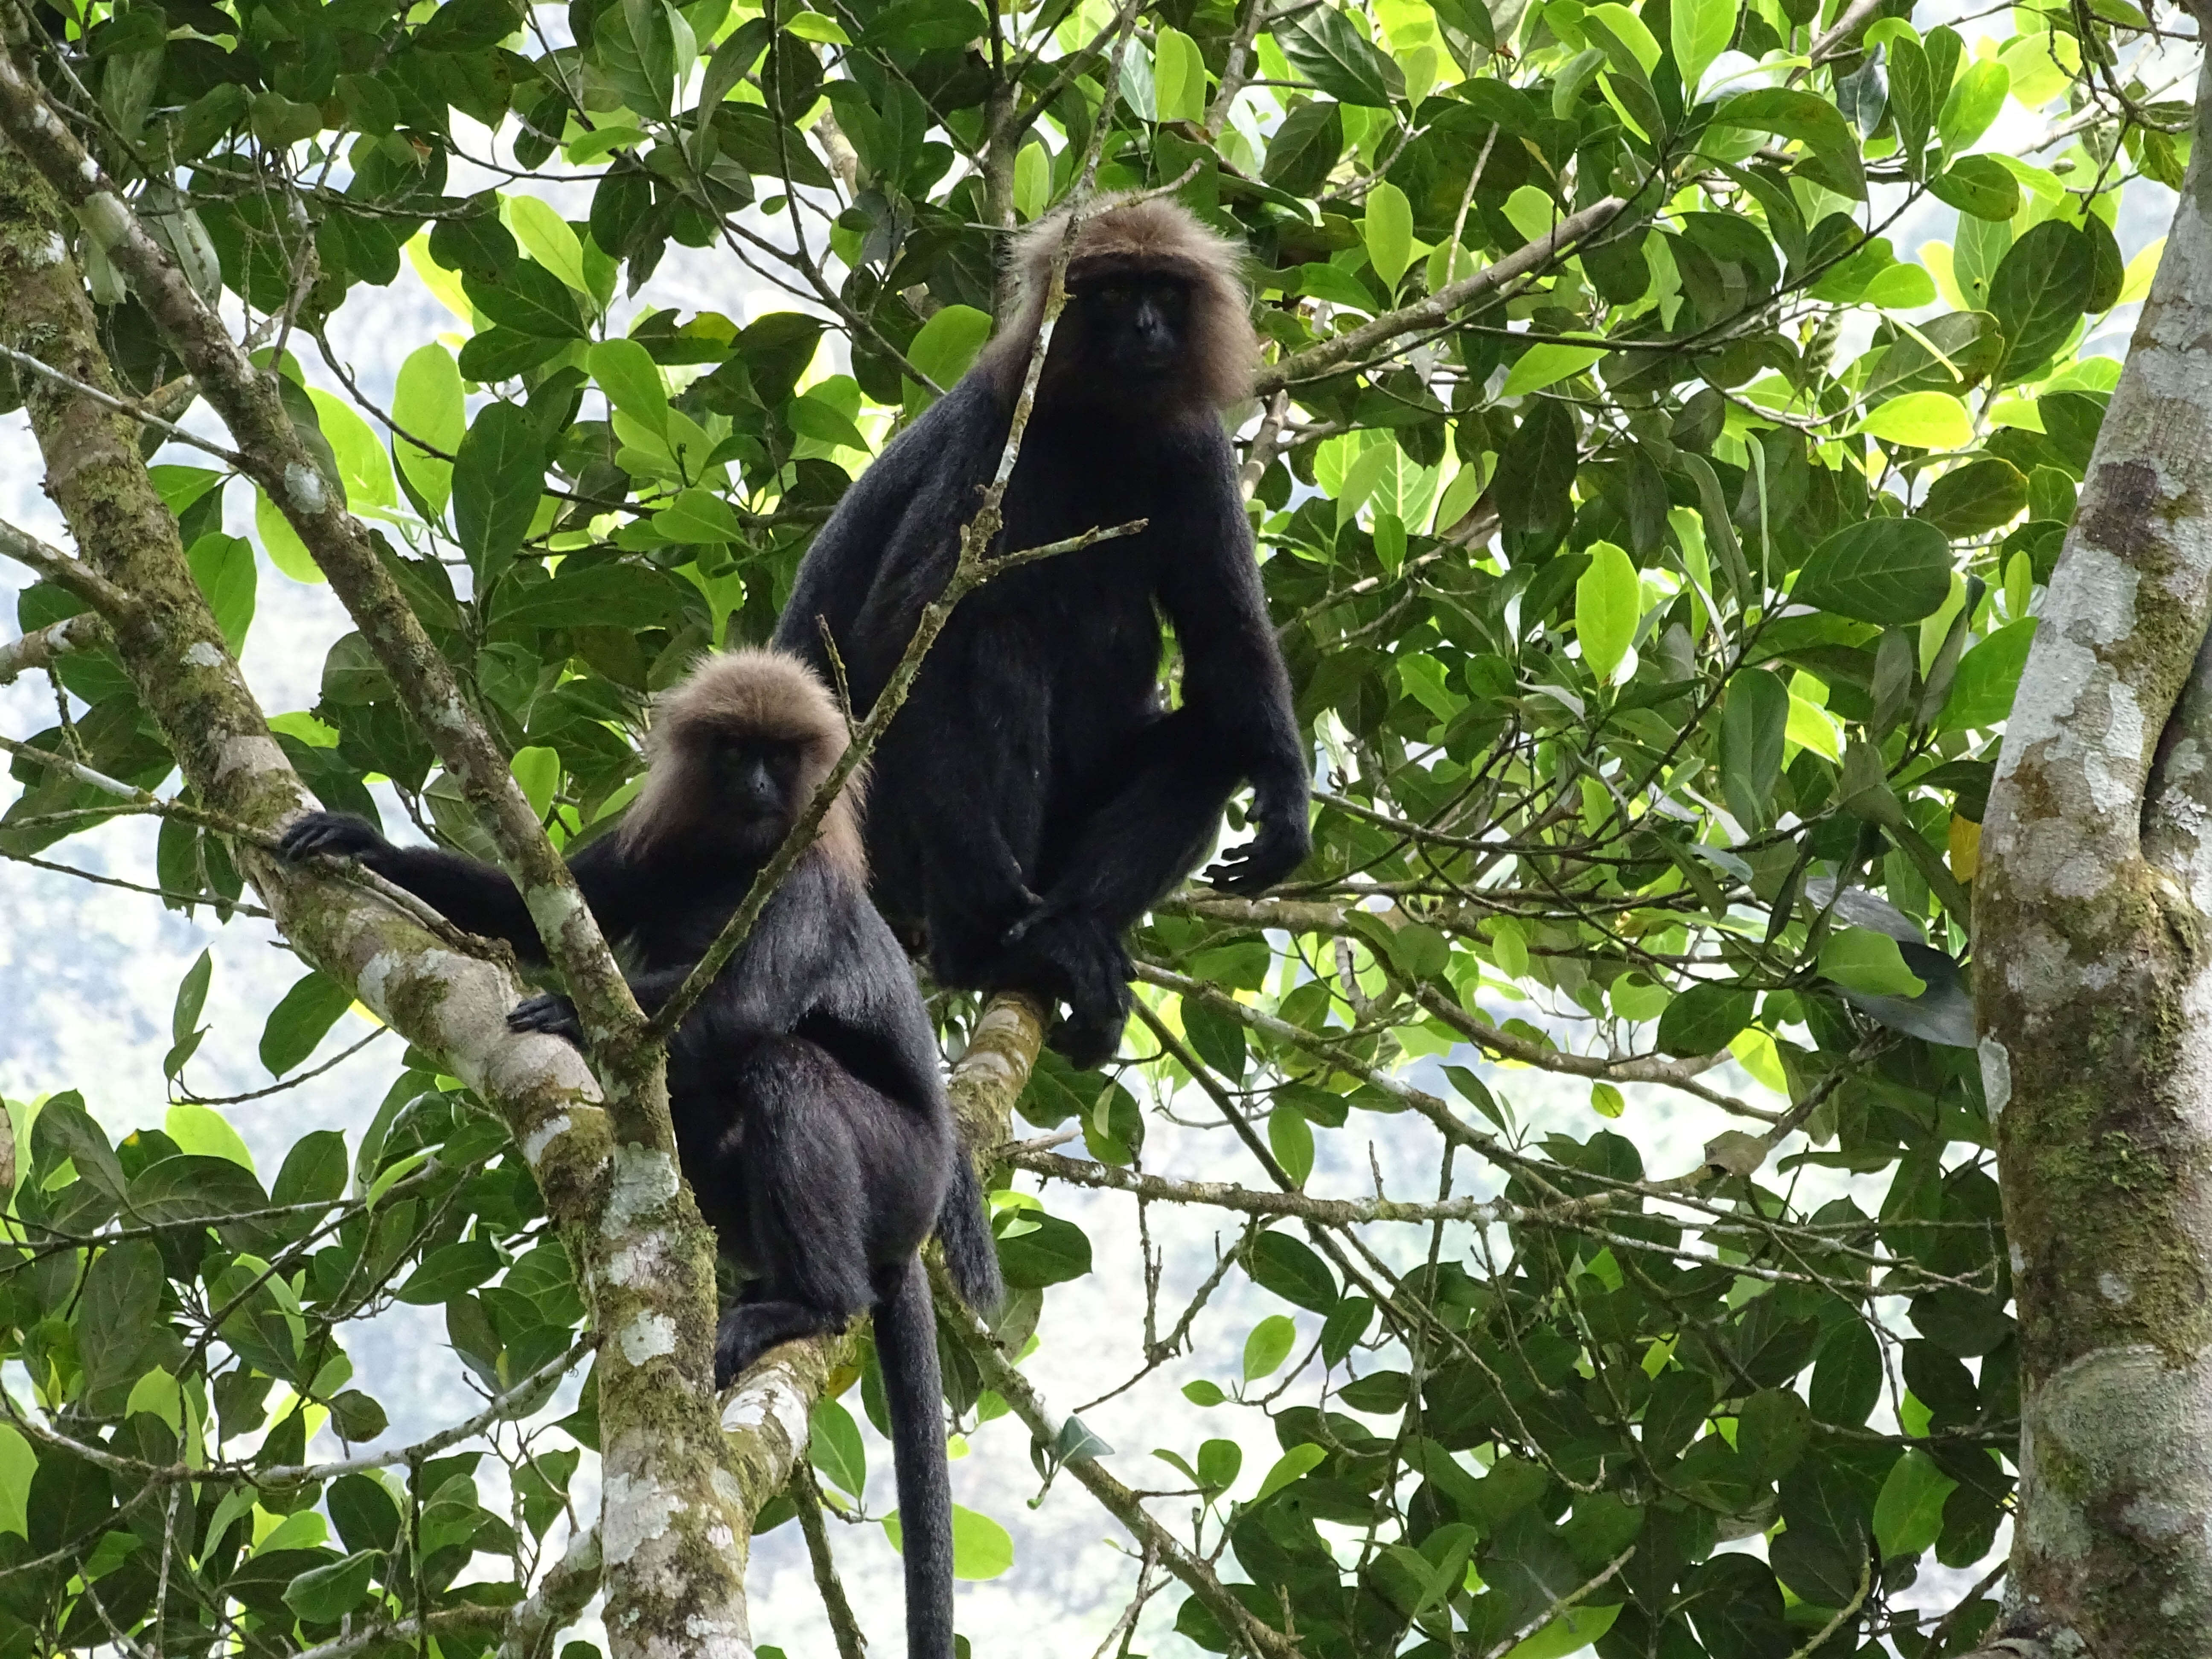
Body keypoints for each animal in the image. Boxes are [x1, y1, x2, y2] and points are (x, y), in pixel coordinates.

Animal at [279, 646, 1004, 1659]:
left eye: (780, 758)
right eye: (735, 752)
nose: (756, 787)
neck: (733, 861)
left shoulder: (802, 885)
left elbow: (739, 1011)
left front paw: (573, 1016)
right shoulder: (655, 850)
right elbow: (530, 911)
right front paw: (364, 845)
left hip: (899, 1167)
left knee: (779, 1068)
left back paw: (811, 1301)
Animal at [774, 195, 1301, 1071]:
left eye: (1164, 290)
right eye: (1116, 293)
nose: (1149, 328)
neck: (1098, 426)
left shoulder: (1194, 447)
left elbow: (1225, 629)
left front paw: (1288, 800)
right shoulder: (994, 437)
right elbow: (902, 646)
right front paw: (993, 905)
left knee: (1215, 735)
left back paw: (1072, 929)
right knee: (993, 646)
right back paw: (991, 948)